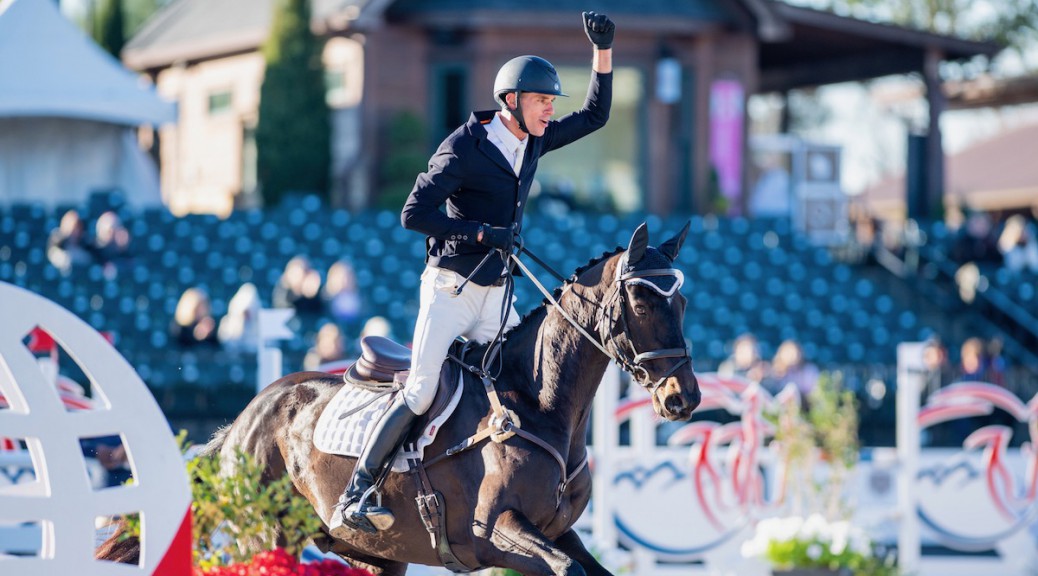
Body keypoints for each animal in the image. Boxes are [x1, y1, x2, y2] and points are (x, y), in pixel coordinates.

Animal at [205, 223, 697, 572]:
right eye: (640, 304)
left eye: (683, 304)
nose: (684, 398)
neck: (537, 404)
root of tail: (248, 415)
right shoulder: (495, 532)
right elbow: (565, 569)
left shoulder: (558, 532)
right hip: (265, 536)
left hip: (375, 555)